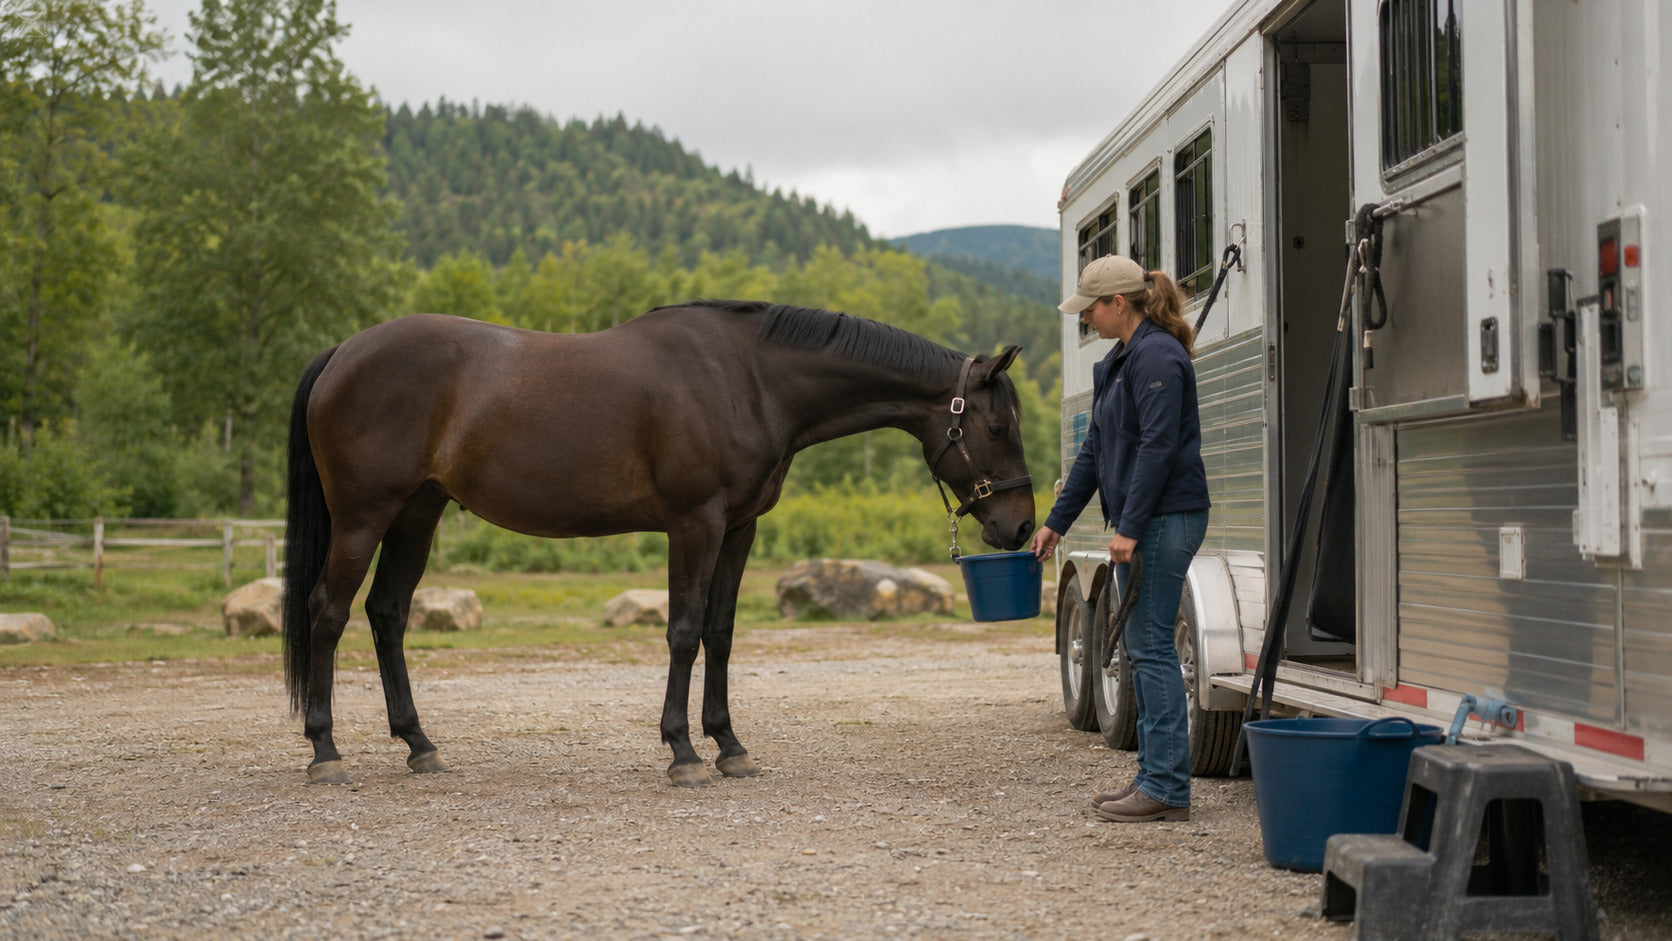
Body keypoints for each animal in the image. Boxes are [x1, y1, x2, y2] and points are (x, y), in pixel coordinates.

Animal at [281, 300, 1036, 788]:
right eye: (999, 426)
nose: (1023, 526)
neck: (746, 378)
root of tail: (342, 353)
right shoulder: (693, 523)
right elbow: (683, 628)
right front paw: (682, 752)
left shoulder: (738, 527)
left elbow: (721, 631)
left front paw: (729, 744)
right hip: (363, 515)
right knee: (327, 613)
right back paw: (326, 751)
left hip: (417, 513)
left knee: (387, 614)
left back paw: (419, 744)